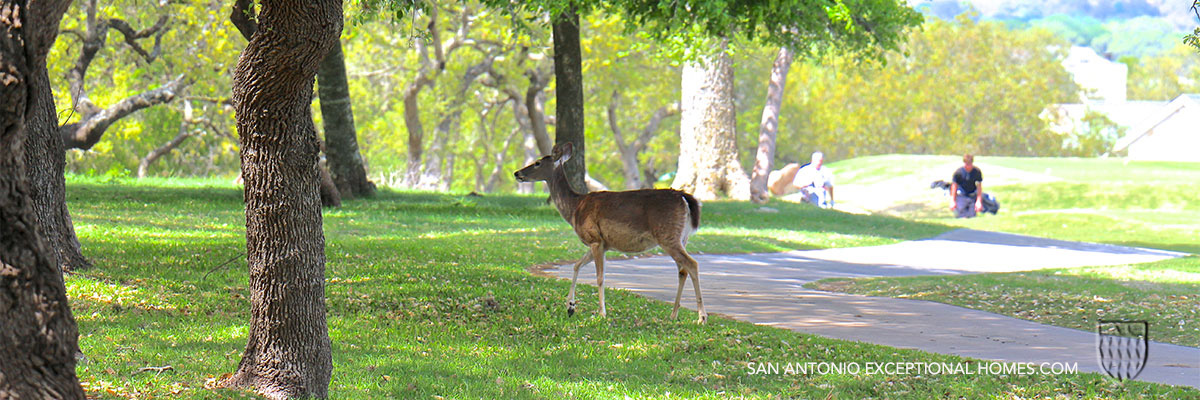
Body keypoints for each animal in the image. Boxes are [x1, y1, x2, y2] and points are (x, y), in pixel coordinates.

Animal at [511, 141, 705, 321]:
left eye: (537, 162)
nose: (517, 173)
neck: (575, 208)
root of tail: (685, 198)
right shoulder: (602, 243)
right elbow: (576, 265)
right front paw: (570, 306)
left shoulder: (594, 238)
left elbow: (600, 277)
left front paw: (601, 313)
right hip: (681, 237)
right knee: (682, 270)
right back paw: (673, 315)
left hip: (668, 235)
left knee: (692, 264)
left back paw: (701, 317)